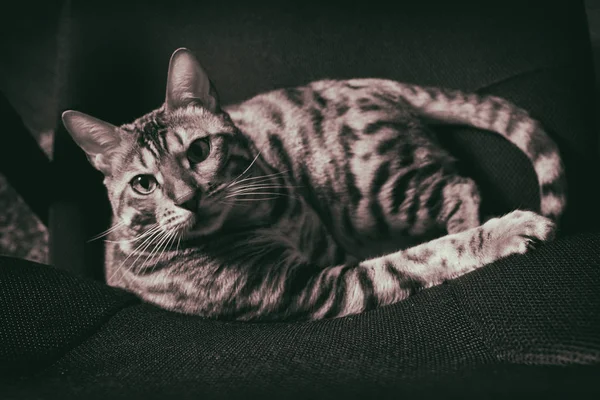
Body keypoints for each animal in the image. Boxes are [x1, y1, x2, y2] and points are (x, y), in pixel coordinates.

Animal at [62, 47, 568, 322]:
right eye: (143, 183)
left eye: (199, 151)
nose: (188, 199)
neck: (262, 213)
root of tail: (363, 81)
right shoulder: (315, 284)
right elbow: (419, 259)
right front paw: (504, 231)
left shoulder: (326, 250)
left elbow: (427, 250)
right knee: (458, 188)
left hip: (373, 189)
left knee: (458, 185)